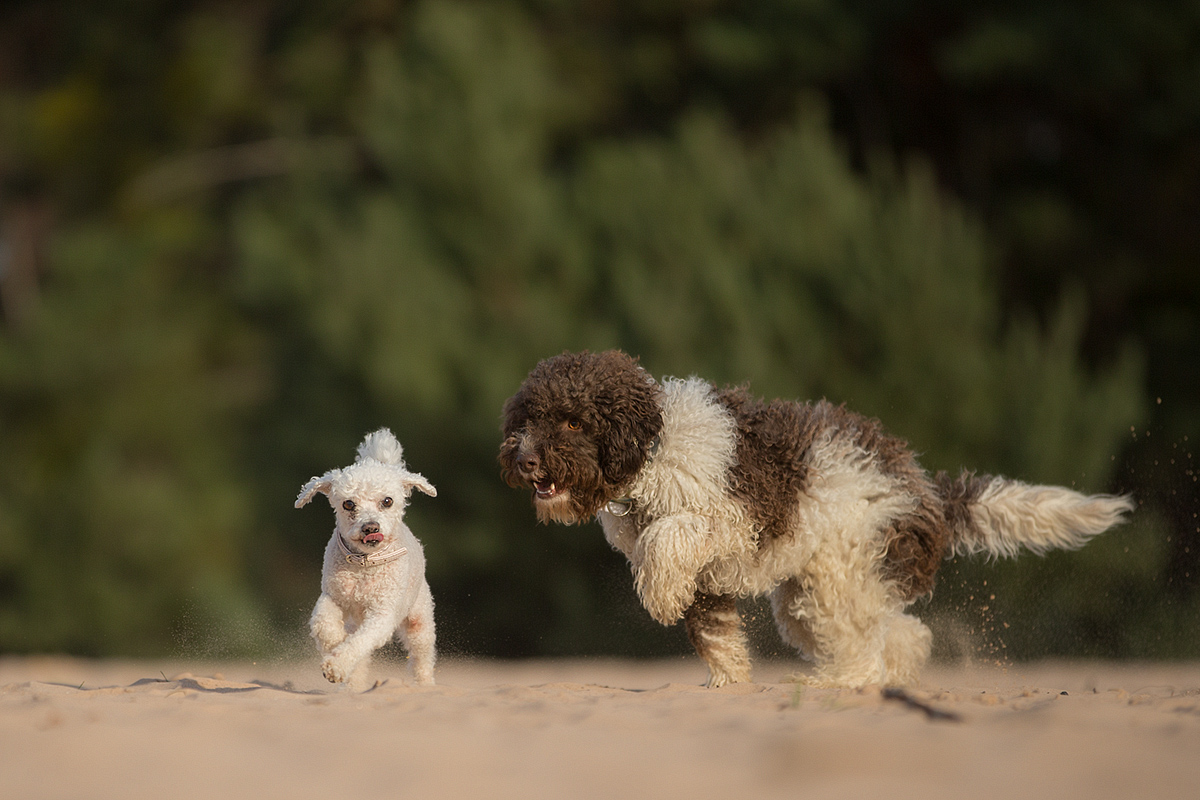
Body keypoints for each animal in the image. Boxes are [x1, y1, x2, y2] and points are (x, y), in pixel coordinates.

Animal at [297, 431, 439, 690]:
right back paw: (352, 687)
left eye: (387, 501)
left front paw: (336, 665)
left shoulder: (382, 614)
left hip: (419, 618)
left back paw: (425, 685)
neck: (364, 565)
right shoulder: (332, 596)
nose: (370, 528)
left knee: (422, 657)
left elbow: (360, 641)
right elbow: (324, 624)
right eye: (348, 504)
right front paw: (335, 644)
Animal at [496, 350, 1132, 690]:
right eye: (526, 419)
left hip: (841, 574)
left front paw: (658, 593)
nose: (523, 460)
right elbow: (714, 633)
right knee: (901, 634)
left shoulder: (733, 520)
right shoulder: (709, 578)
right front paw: (728, 684)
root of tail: (924, 488)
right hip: (818, 594)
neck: (651, 451)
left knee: (870, 646)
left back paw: (832, 684)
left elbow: (668, 536)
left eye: (573, 421)